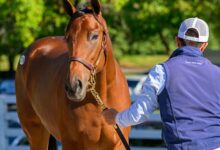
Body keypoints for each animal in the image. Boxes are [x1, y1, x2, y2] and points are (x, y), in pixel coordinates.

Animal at [15, 0, 131, 150]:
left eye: (94, 35)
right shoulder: (71, 143)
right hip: (36, 134)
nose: (73, 86)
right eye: (67, 37)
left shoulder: (118, 144)